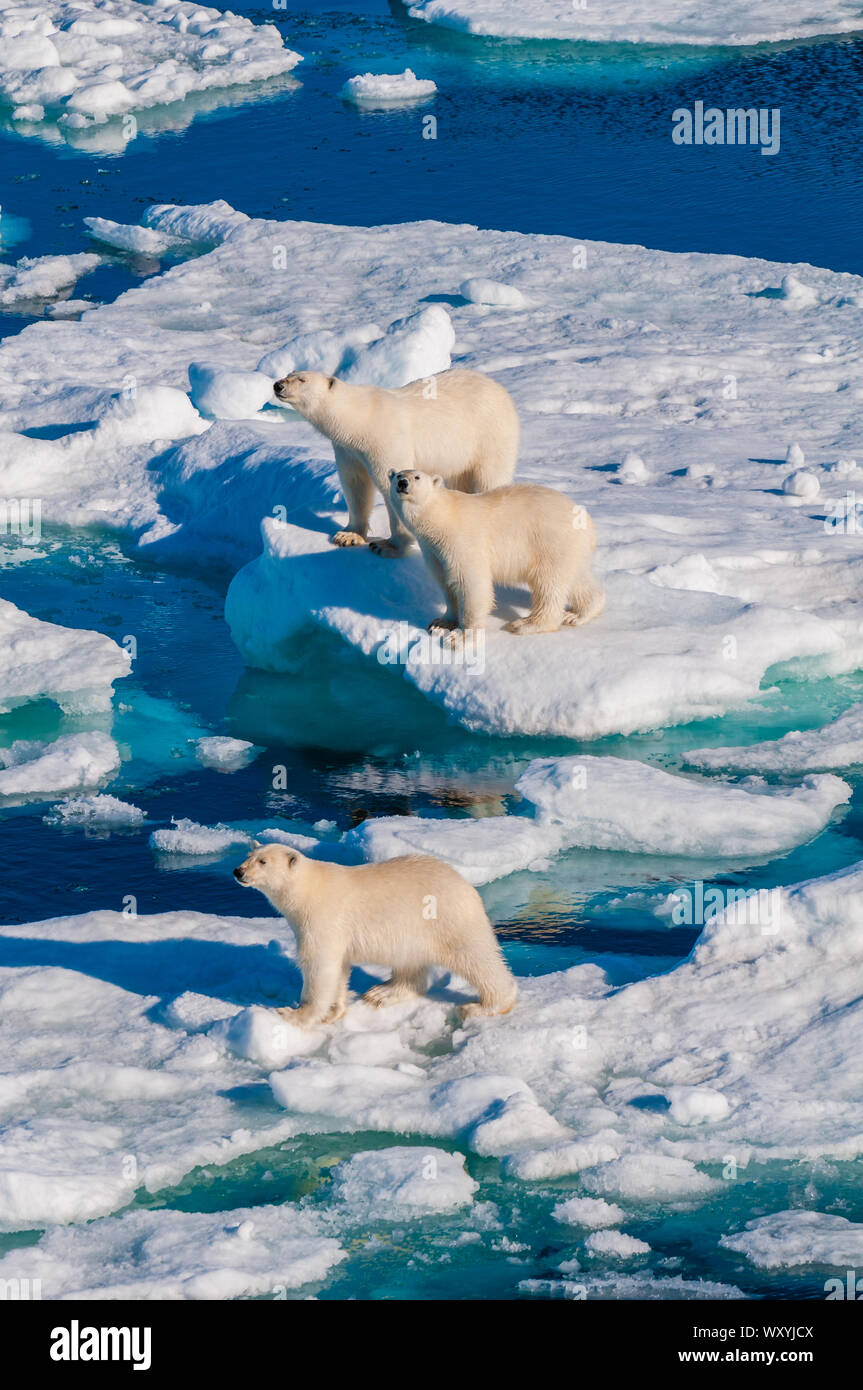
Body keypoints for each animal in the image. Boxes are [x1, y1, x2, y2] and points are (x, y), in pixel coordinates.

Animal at [233, 843, 517, 1027]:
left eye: (263, 861)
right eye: (249, 855)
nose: (238, 871)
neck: (308, 891)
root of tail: (467, 886)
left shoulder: (322, 919)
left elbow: (319, 966)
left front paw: (294, 1014)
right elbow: (339, 967)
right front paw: (335, 1012)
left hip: (447, 919)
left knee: (475, 957)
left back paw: (486, 1005)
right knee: (410, 964)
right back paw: (381, 993)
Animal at [272, 368, 519, 558]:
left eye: (301, 379)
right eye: (289, 373)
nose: (277, 385)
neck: (360, 420)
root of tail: (500, 389)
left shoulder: (384, 440)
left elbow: (388, 483)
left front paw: (387, 546)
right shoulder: (348, 450)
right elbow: (355, 484)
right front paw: (348, 535)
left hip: (490, 434)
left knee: (490, 476)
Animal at [389, 470, 604, 636]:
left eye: (417, 477)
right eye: (398, 474)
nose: (402, 482)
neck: (441, 518)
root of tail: (589, 523)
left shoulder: (462, 541)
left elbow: (471, 582)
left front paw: (460, 638)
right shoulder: (433, 550)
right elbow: (444, 583)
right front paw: (441, 623)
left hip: (551, 542)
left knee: (549, 584)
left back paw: (526, 624)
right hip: (571, 548)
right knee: (576, 579)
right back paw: (577, 614)